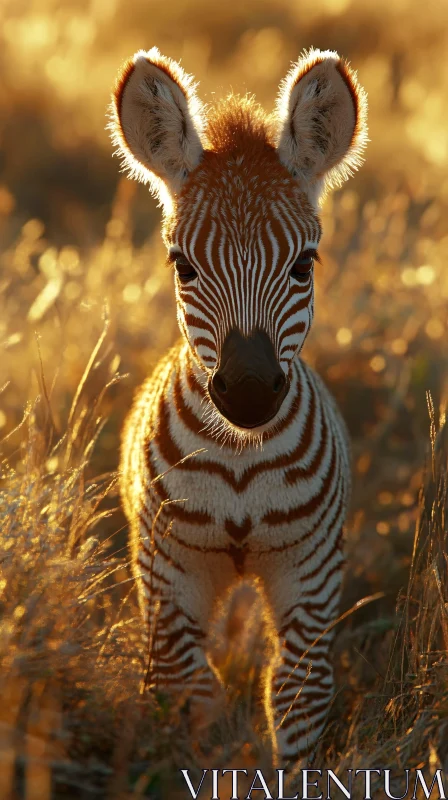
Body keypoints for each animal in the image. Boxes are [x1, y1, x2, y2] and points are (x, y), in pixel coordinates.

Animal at [109, 45, 368, 764]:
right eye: (183, 266)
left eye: (305, 265)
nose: (250, 390)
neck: (240, 463)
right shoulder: (169, 576)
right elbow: (192, 697)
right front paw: (210, 766)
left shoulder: (311, 572)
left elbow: (298, 697)